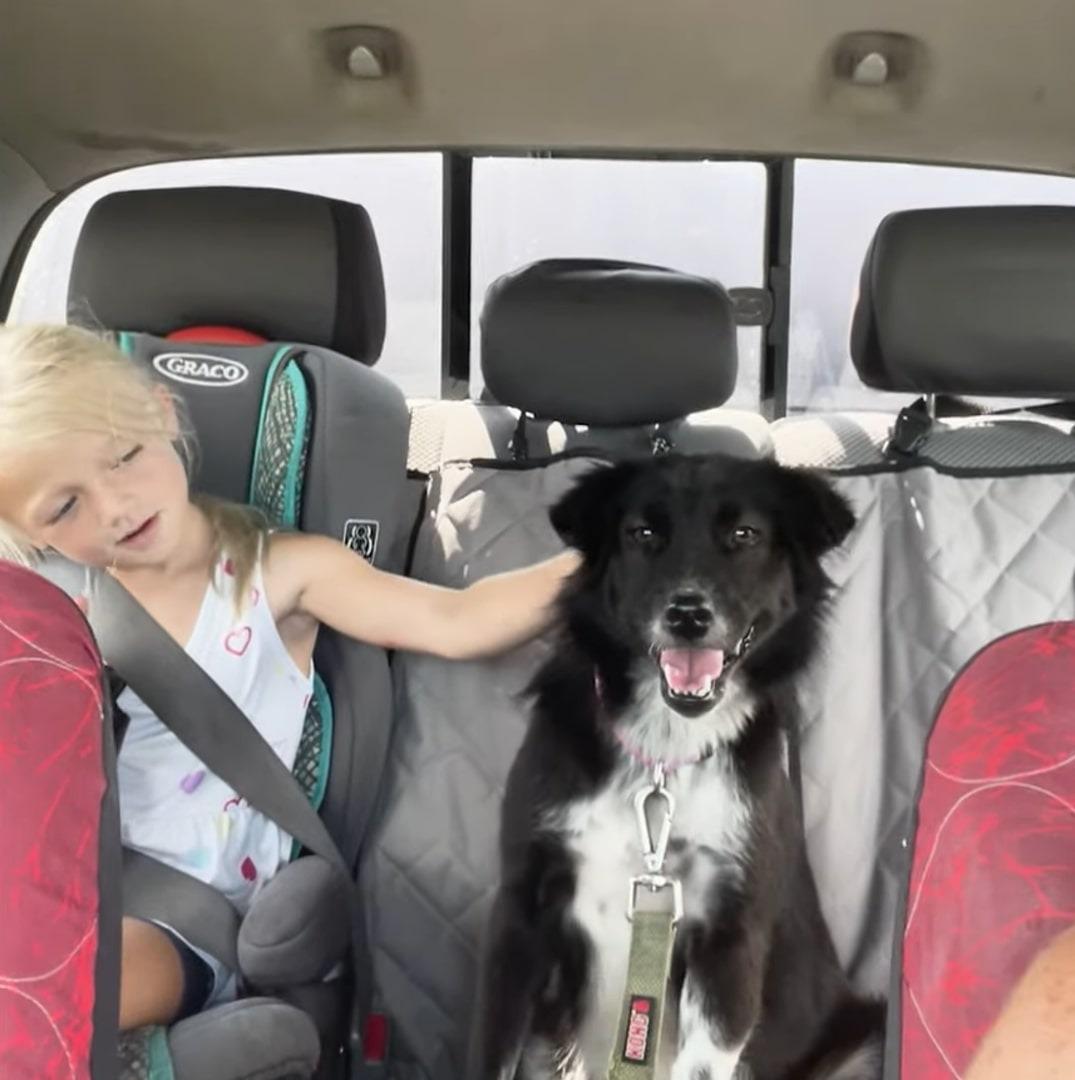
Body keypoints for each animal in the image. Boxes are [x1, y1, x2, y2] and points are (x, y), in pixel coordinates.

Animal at [475, 455, 885, 1080]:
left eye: (745, 534)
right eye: (643, 534)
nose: (688, 614)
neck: (664, 753)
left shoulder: (730, 936)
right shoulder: (522, 909)